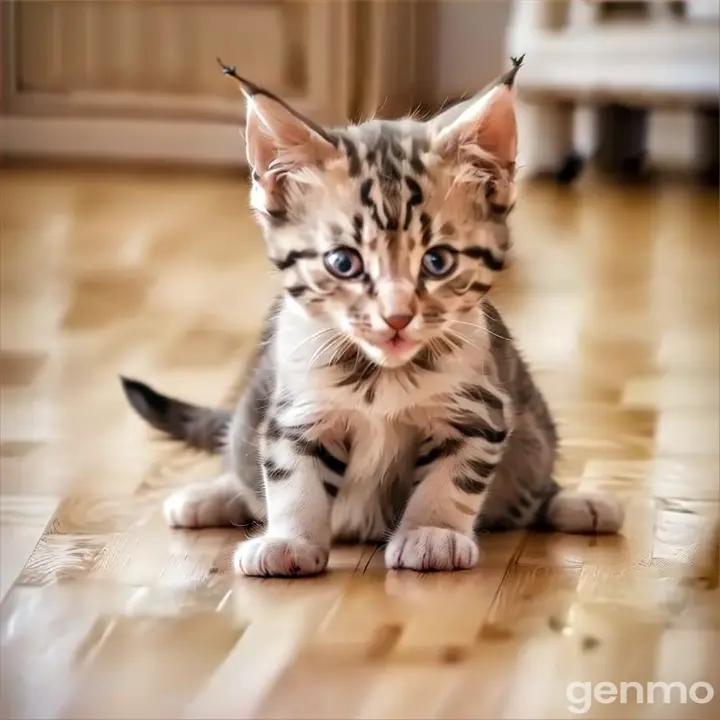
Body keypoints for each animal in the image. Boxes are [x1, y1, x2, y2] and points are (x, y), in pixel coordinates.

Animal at [119, 56, 624, 576]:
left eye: (437, 261)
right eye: (344, 262)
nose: (397, 316)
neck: (382, 375)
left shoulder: (479, 409)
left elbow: (452, 478)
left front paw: (433, 532)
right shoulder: (297, 410)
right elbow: (291, 477)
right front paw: (291, 539)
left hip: (534, 434)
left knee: (535, 489)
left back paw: (579, 505)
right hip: (250, 411)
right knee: (242, 461)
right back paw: (210, 498)